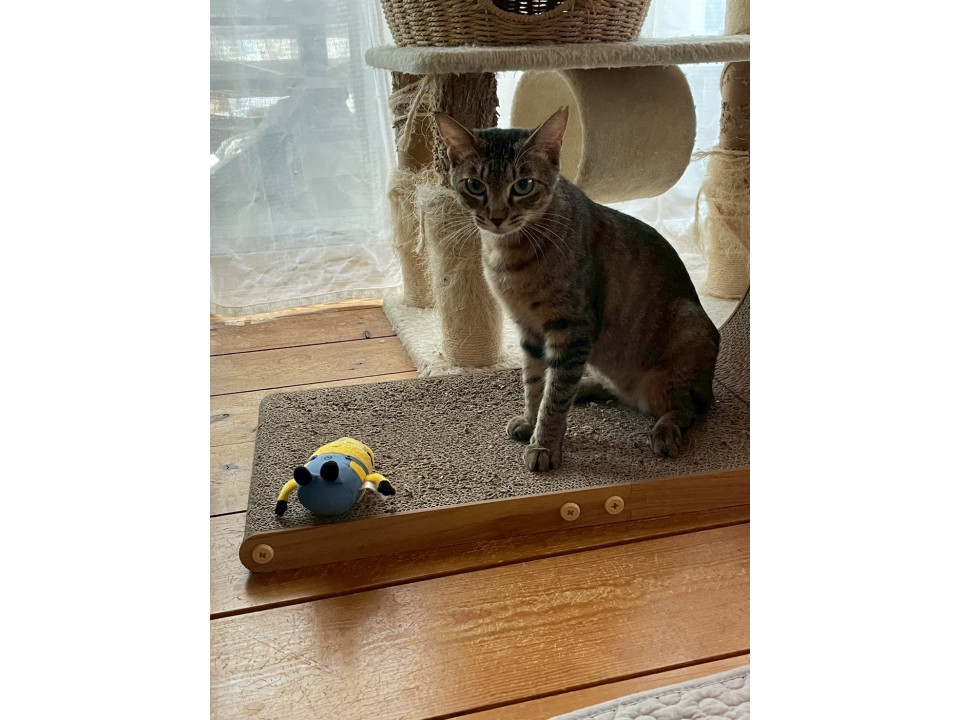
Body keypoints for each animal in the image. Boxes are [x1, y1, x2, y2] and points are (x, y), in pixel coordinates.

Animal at [434, 106, 720, 471]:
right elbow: (535, 383)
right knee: (613, 391)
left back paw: (665, 430)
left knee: (687, 408)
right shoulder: (529, 330)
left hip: (681, 340)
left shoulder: (572, 329)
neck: (509, 254)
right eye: (475, 185)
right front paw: (531, 422)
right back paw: (586, 388)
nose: (497, 217)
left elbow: (554, 399)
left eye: (523, 185)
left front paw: (543, 444)